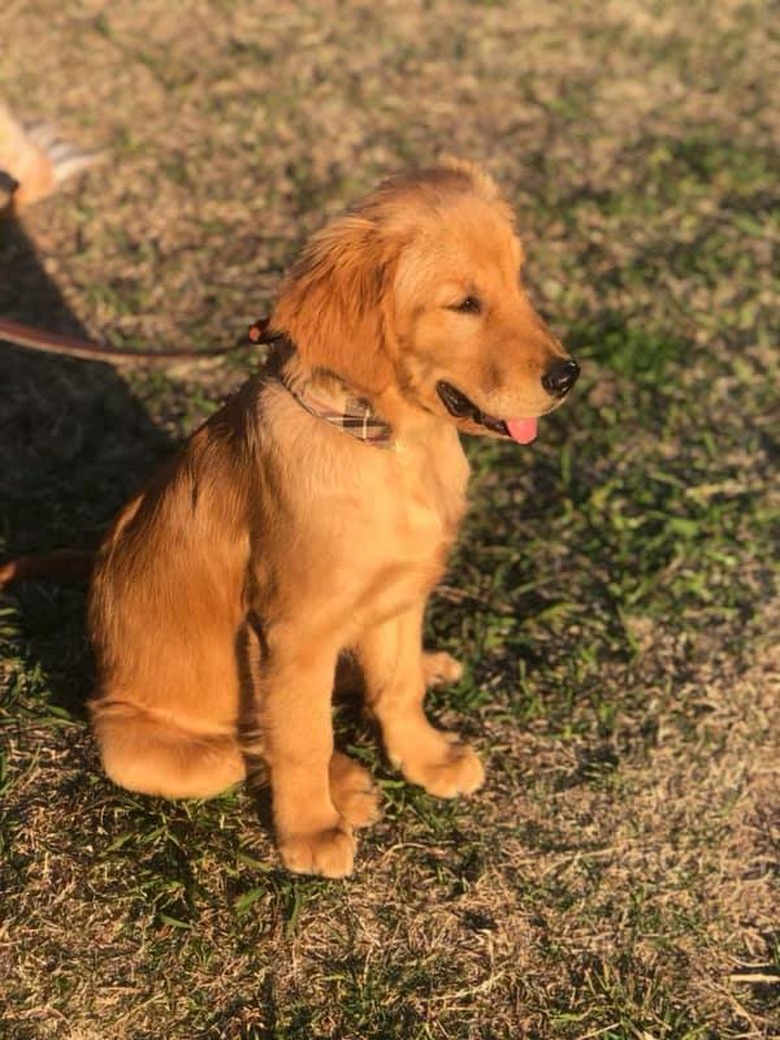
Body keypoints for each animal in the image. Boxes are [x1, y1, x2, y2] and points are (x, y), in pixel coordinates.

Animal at [89, 160, 582, 877]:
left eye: (518, 280)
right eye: (464, 304)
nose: (568, 375)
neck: (387, 443)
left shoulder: (399, 595)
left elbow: (396, 688)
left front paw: (424, 757)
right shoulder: (292, 630)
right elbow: (300, 737)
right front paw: (309, 829)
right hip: (148, 747)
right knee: (249, 745)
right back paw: (342, 786)